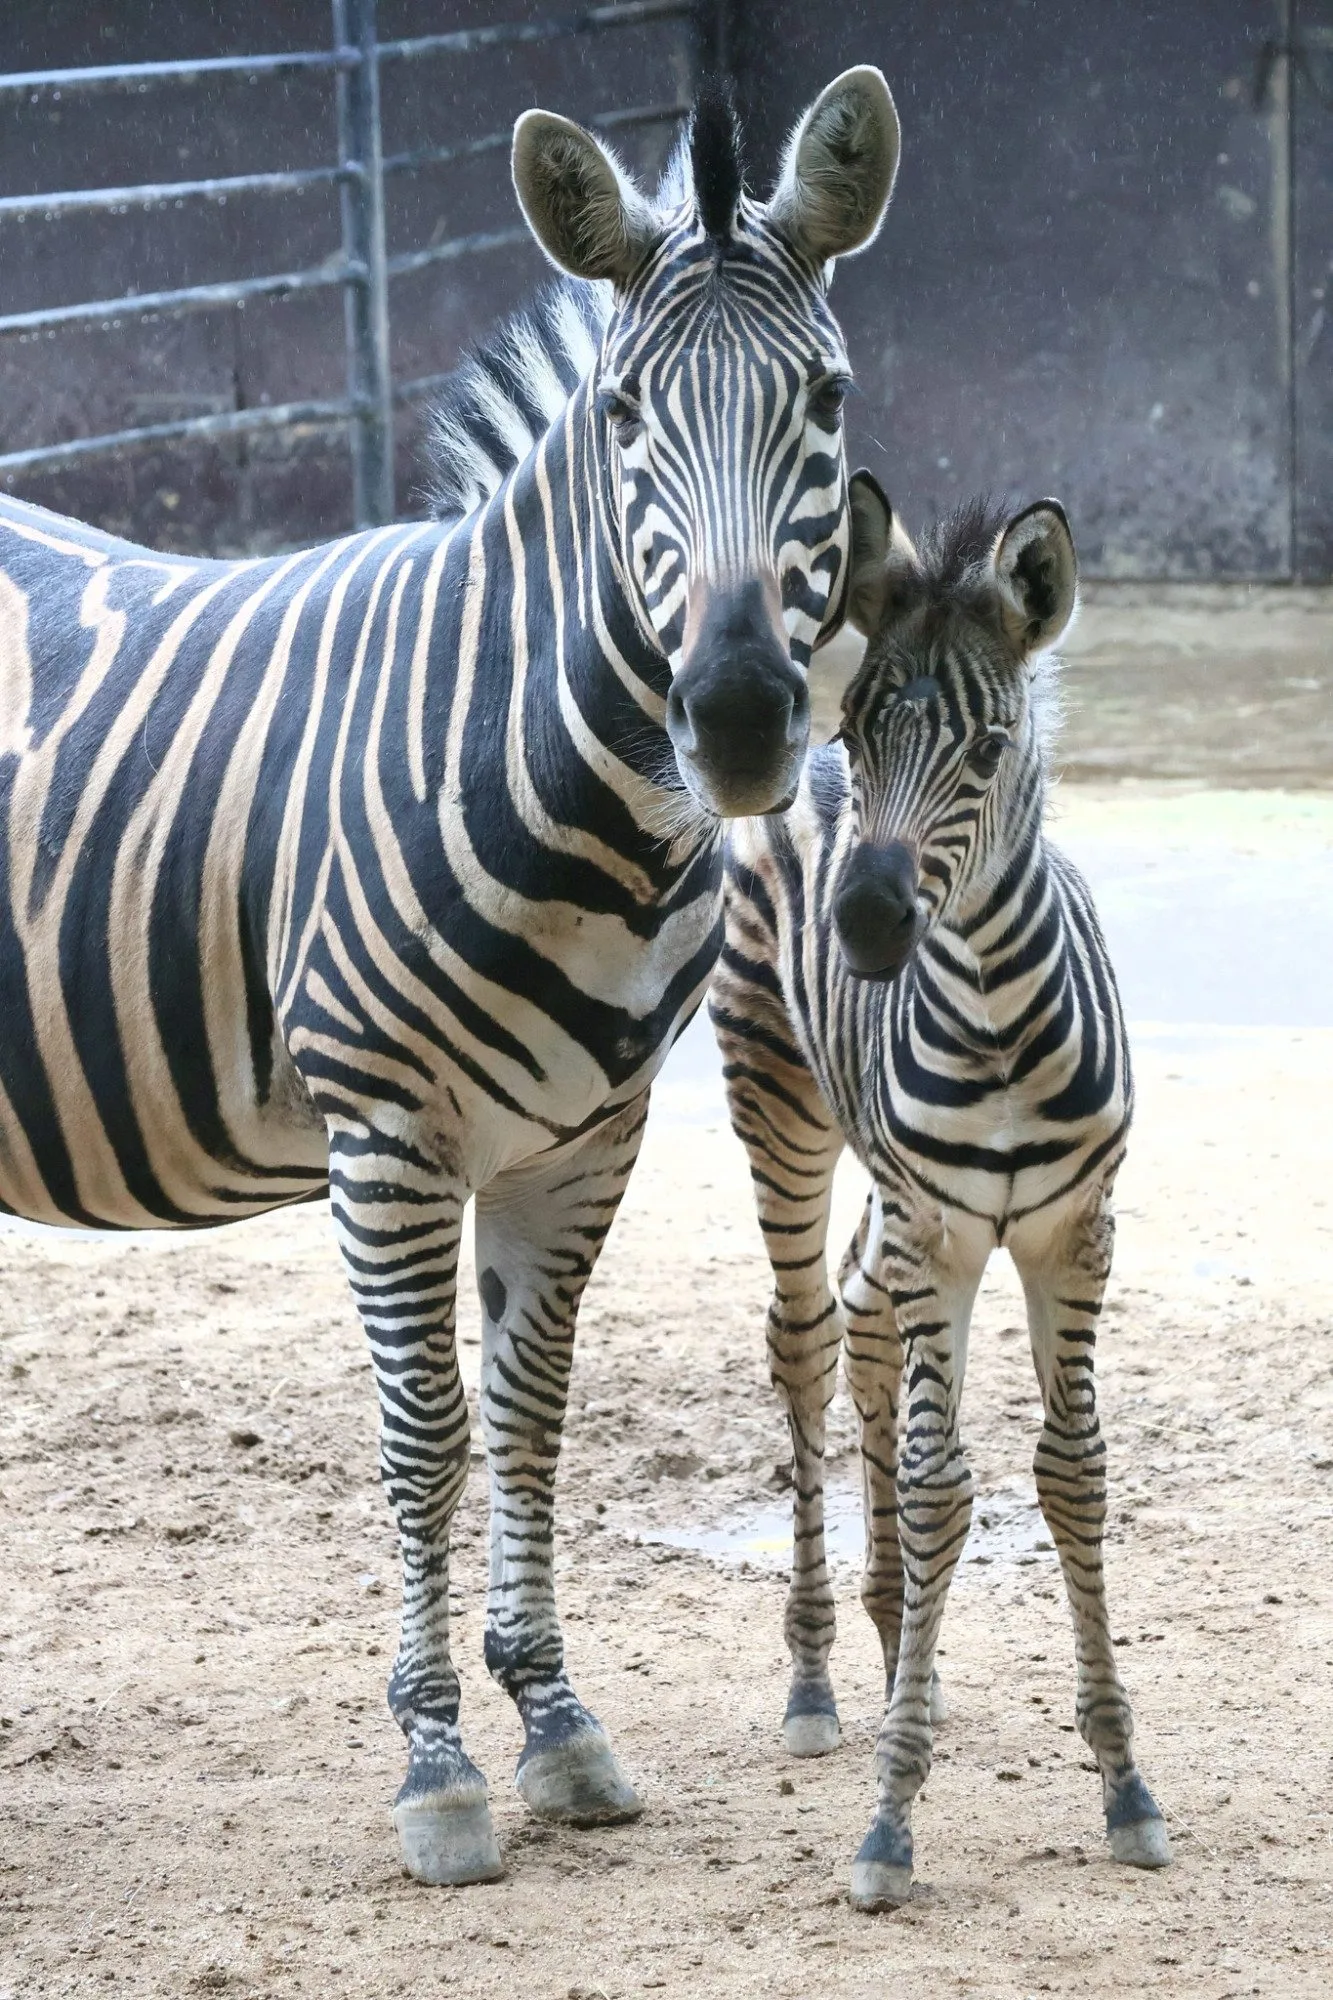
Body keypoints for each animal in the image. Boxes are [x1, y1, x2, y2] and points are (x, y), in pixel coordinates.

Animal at [0, 73, 901, 1887]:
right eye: (622, 414)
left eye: (826, 396)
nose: (739, 722)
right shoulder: (387, 1138)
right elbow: (424, 1433)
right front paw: (434, 1764)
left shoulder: (582, 1137)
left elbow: (531, 1415)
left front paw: (552, 1721)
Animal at [709, 476, 1172, 1909]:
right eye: (864, 732)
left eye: (988, 747)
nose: (864, 925)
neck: (1002, 1025)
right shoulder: (948, 1232)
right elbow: (936, 1484)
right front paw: (889, 1813)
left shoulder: (1070, 1232)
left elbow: (1068, 1471)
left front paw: (1124, 1784)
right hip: (779, 1106)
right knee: (806, 1340)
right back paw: (819, 1672)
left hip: (891, 1196)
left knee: (861, 1320)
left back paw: (889, 1631)